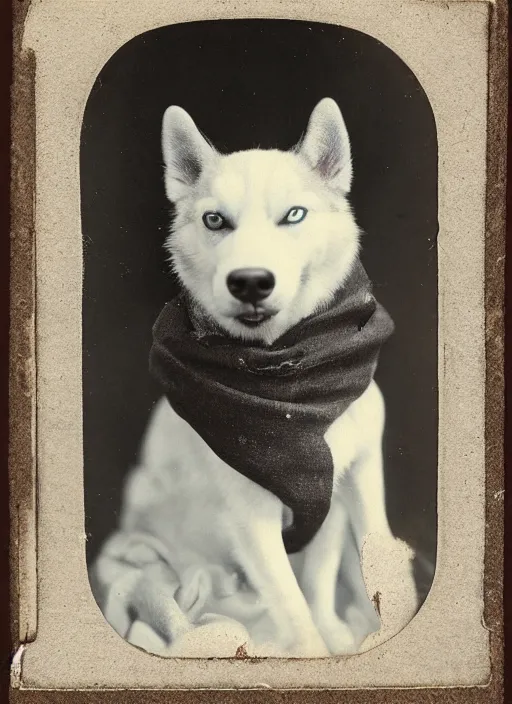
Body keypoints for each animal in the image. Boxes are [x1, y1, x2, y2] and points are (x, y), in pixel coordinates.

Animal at [93, 99, 420, 660]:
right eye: (214, 220)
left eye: (293, 215)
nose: (249, 282)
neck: (289, 389)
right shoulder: (252, 519)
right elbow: (291, 603)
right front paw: (311, 647)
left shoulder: (345, 485)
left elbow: (319, 580)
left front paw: (333, 631)